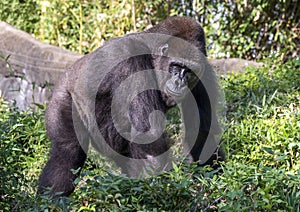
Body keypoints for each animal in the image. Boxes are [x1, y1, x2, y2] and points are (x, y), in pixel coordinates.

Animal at [37, 16, 224, 197]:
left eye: (190, 71)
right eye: (176, 66)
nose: (180, 82)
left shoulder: (204, 71)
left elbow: (202, 132)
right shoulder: (131, 60)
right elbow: (150, 137)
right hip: (63, 95)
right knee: (66, 153)